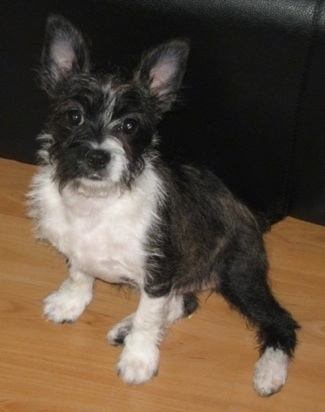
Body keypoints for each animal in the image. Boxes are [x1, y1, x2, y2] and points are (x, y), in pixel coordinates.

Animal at [28, 15, 298, 396]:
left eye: (130, 125)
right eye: (74, 117)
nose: (98, 156)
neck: (99, 204)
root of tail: (251, 214)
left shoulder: (159, 273)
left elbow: (148, 317)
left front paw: (138, 360)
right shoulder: (81, 251)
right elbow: (80, 273)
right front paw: (71, 303)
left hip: (239, 275)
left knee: (280, 322)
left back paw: (269, 372)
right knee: (186, 302)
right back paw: (123, 329)